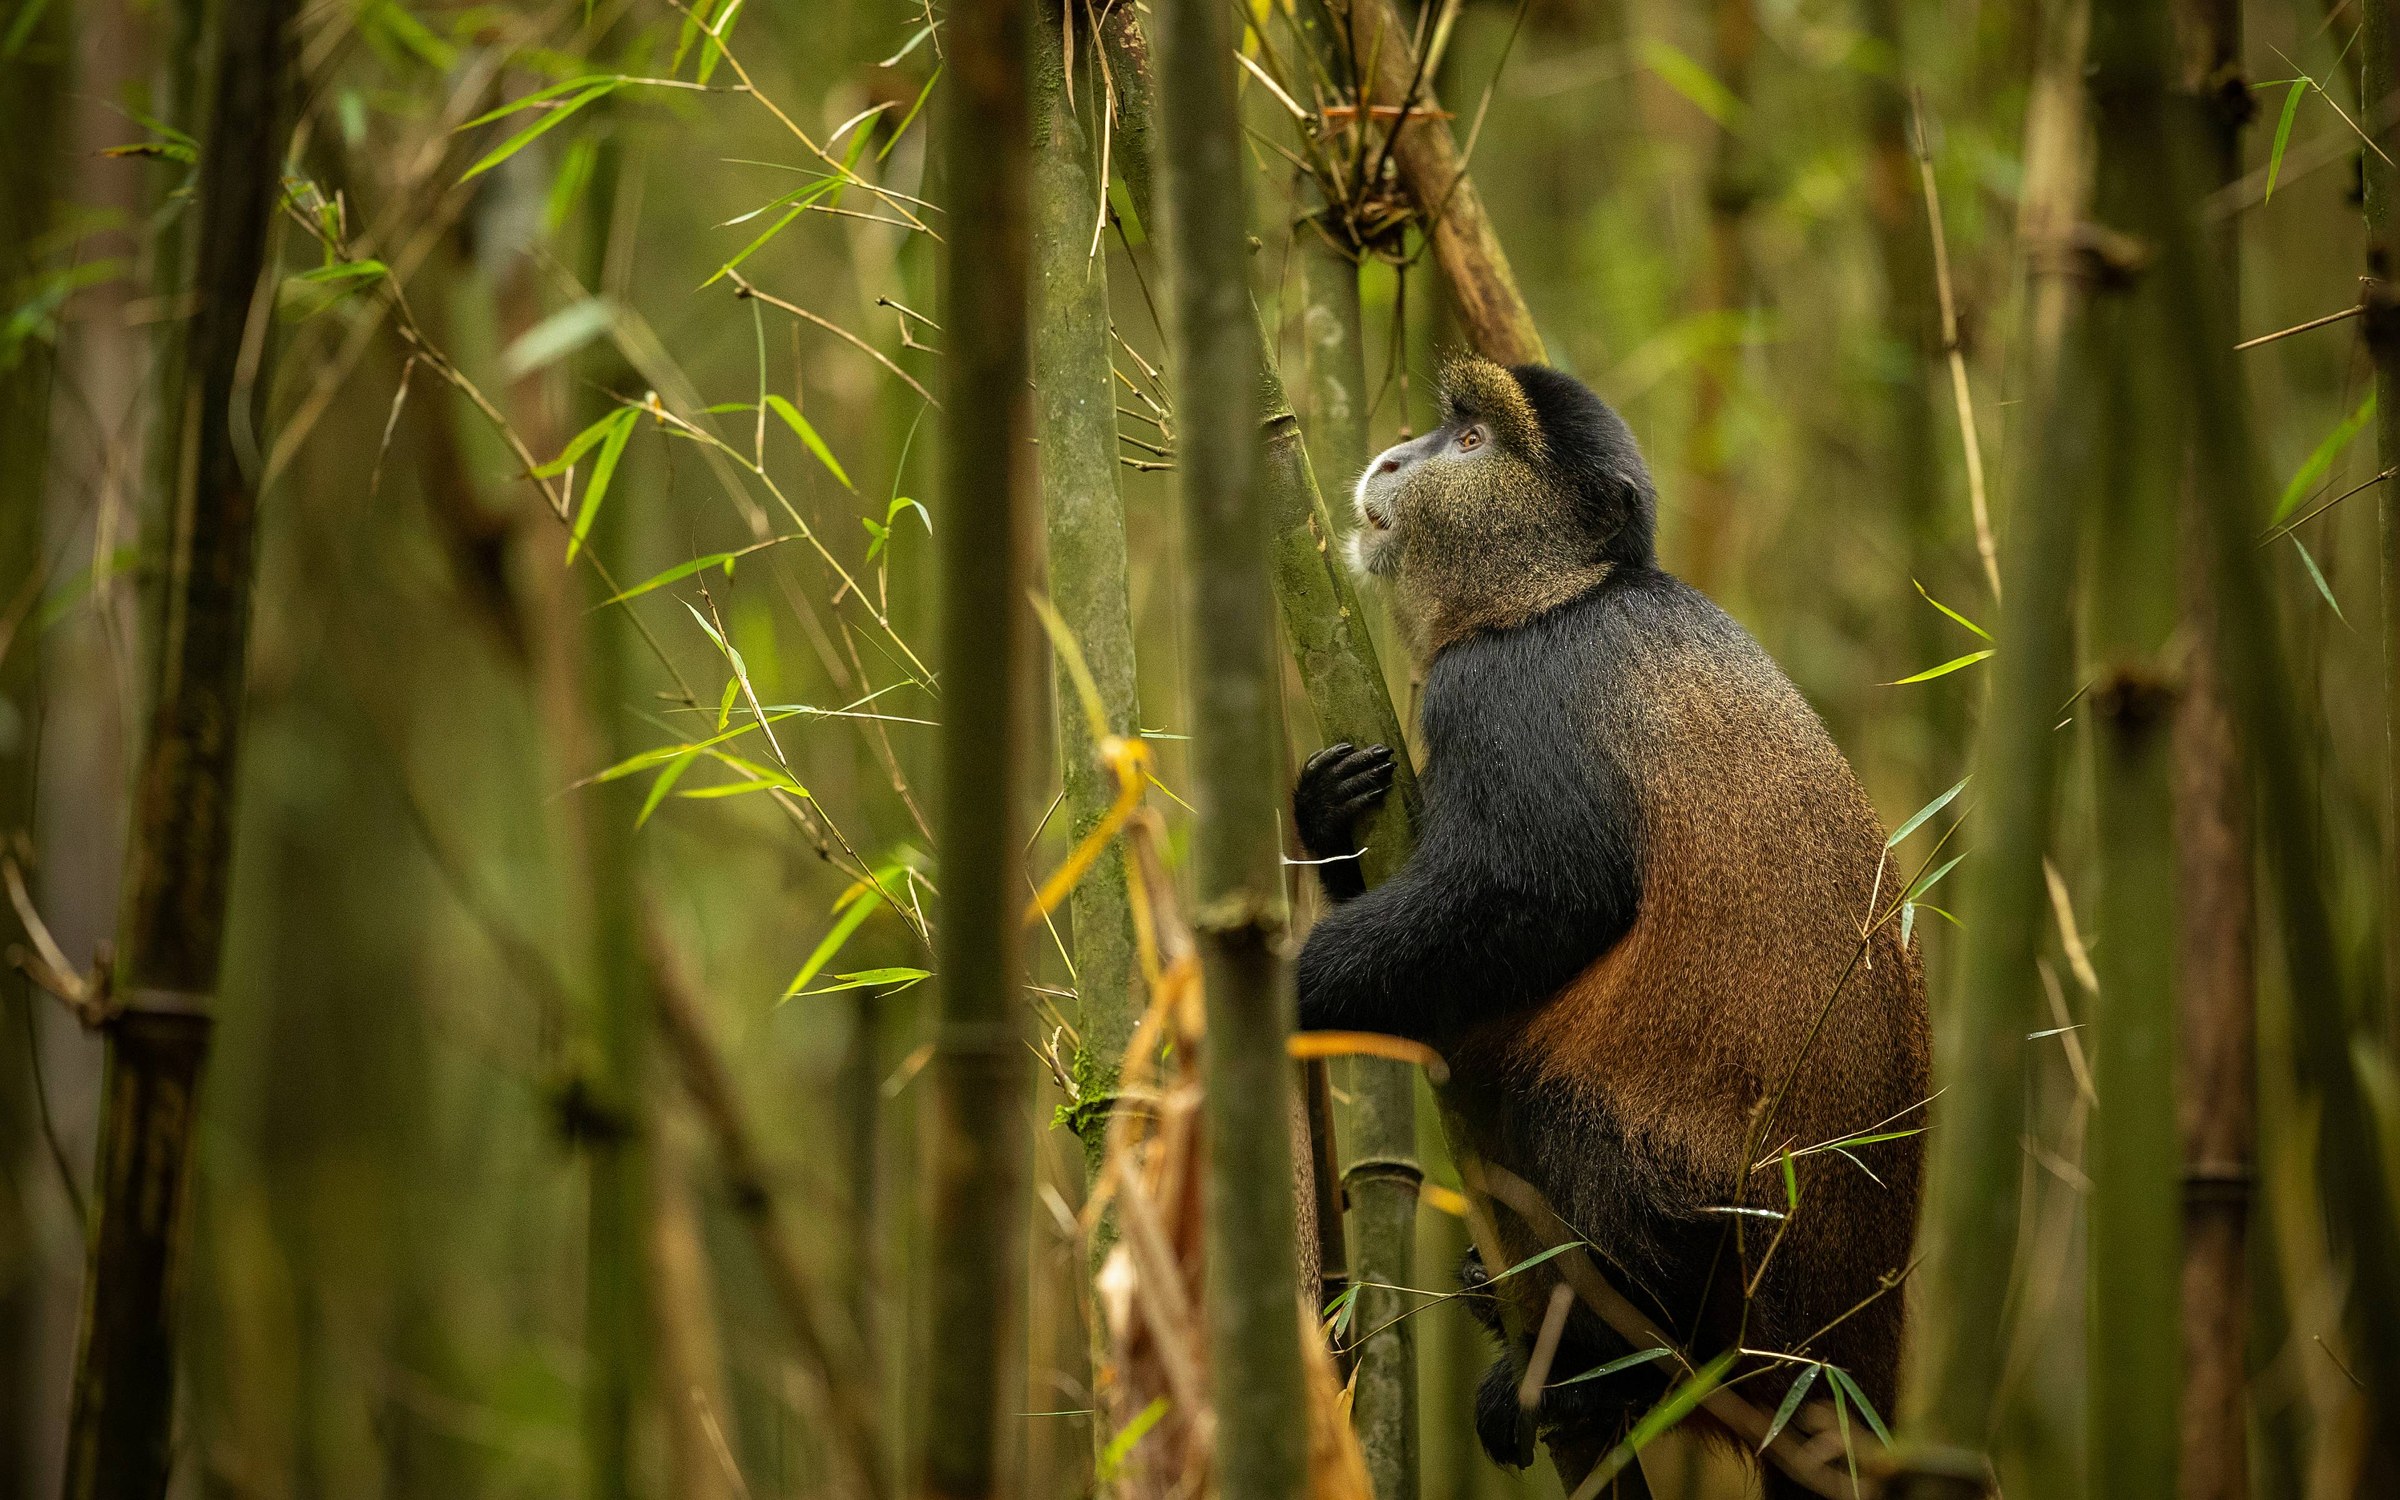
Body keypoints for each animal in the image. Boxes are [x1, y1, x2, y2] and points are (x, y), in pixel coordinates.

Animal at [1292, 358, 1929, 1497]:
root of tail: (1845, 1390)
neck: (1566, 592)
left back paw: (1597, 1371)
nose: (1397, 456)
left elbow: (1538, 896)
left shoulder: (1504, 692)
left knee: (1578, 1121)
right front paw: (1321, 819)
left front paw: (1279, 979)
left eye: (1470, 444)